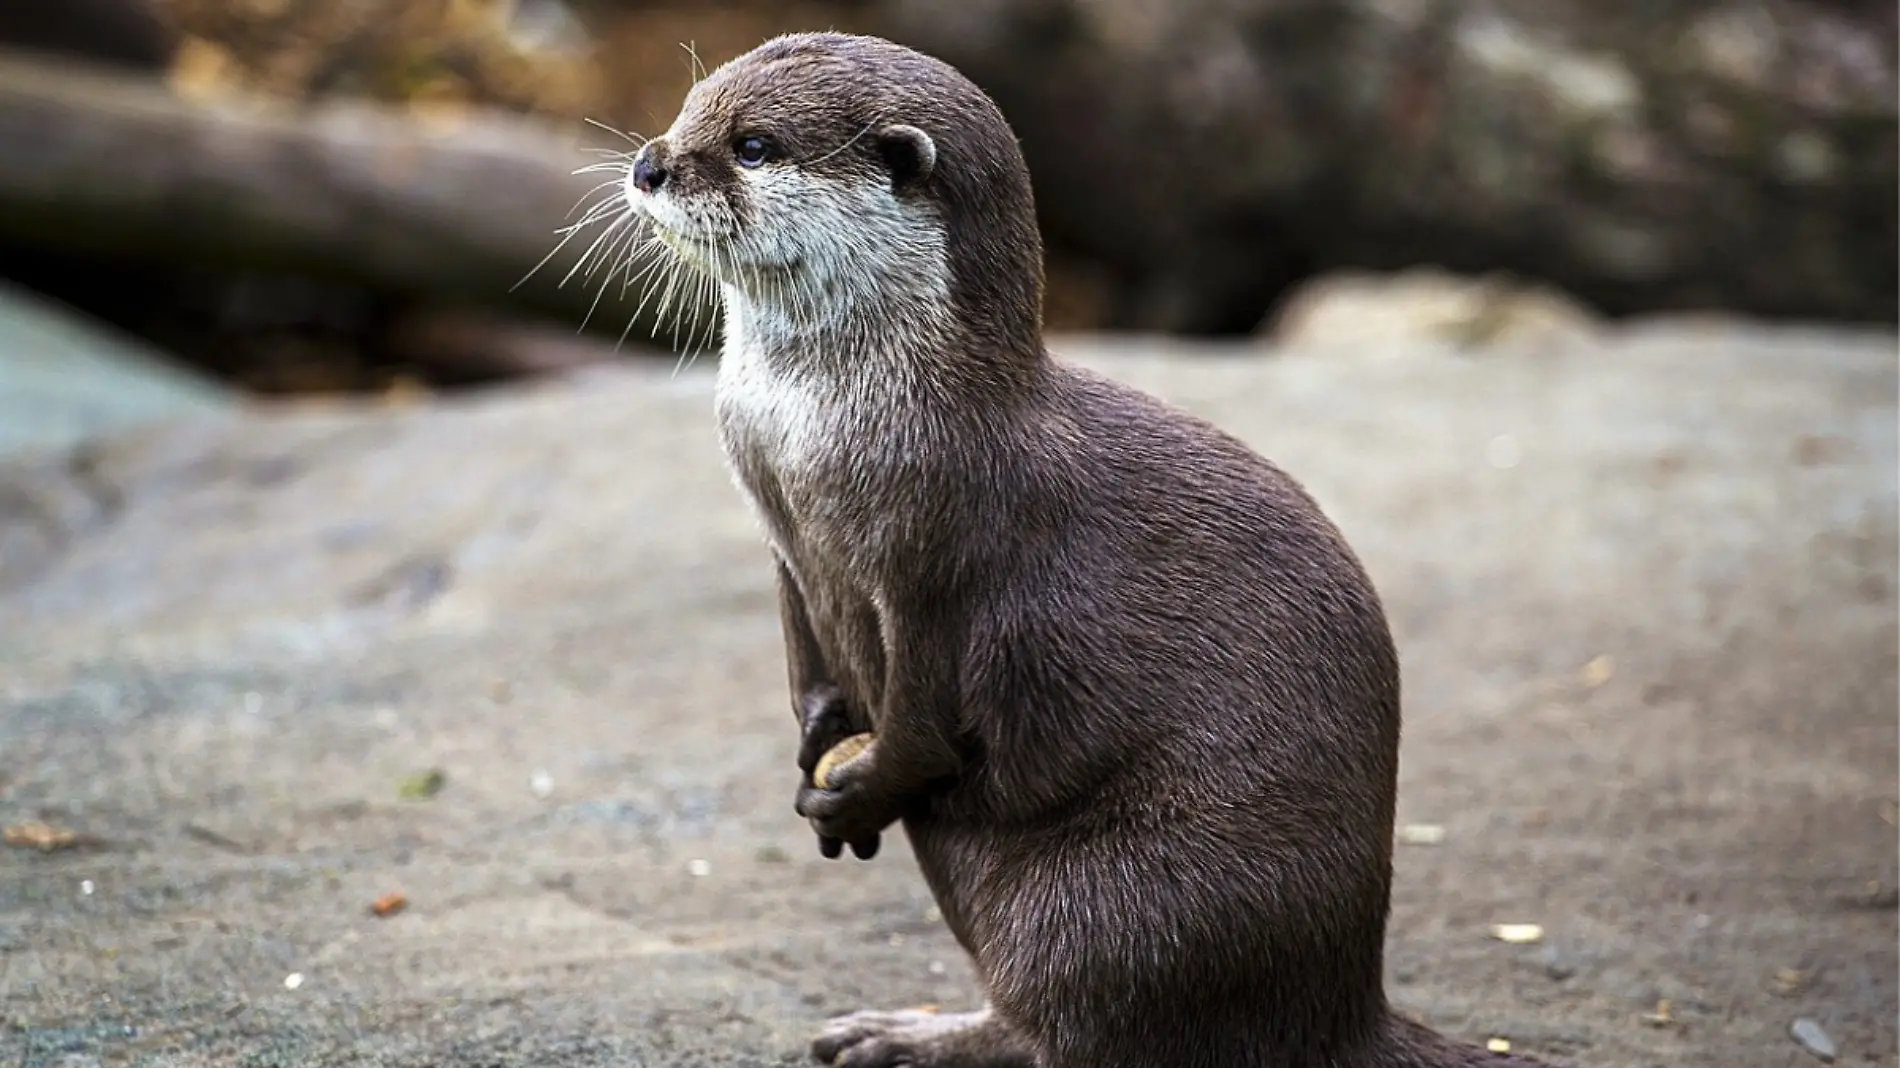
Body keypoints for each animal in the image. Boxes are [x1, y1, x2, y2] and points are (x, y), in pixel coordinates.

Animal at [615, 31, 1550, 1064]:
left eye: (752, 146)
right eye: (690, 108)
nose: (651, 163)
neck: (811, 428)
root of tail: (1343, 1009)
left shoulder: (943, 551)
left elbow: (922, 720)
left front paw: (858, 788)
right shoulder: (780, 533)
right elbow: (802, 652)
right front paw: (817, 742)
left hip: (1115, 900)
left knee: (1059, 1019)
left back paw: (903, 1037)